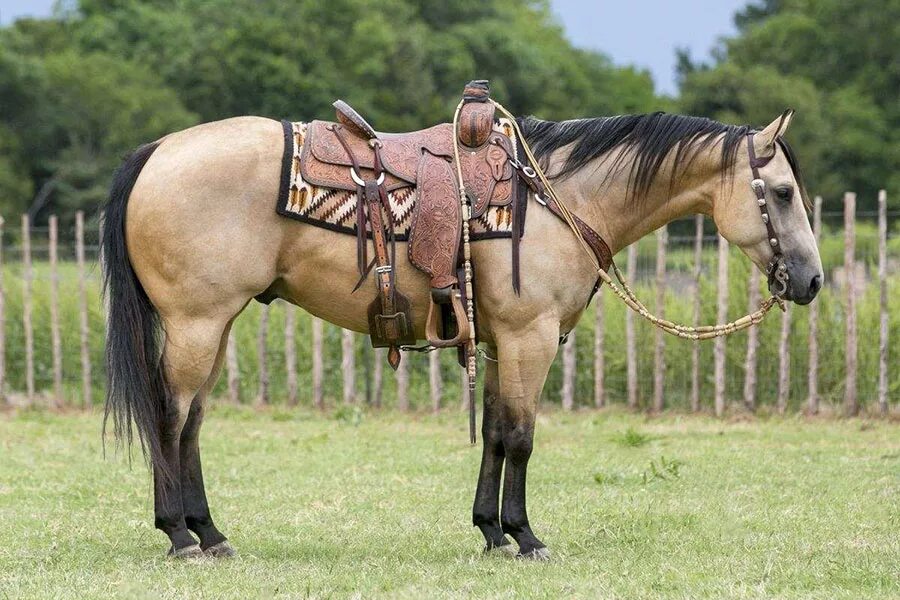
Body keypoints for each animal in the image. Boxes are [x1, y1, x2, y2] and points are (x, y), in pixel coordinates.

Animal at [103, 83, 824, 556]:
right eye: (783, 192)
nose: (812, 280)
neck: (560, 197)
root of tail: (158, 150)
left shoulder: (503, 342)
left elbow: (497, 435)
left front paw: (491, 530)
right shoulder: (532, 338)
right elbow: (522, 438)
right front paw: (526, 537)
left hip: (214, 327)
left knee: (192, 424)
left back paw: (210, 533)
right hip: (195, 324)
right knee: (170, 418)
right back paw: (179, 535)